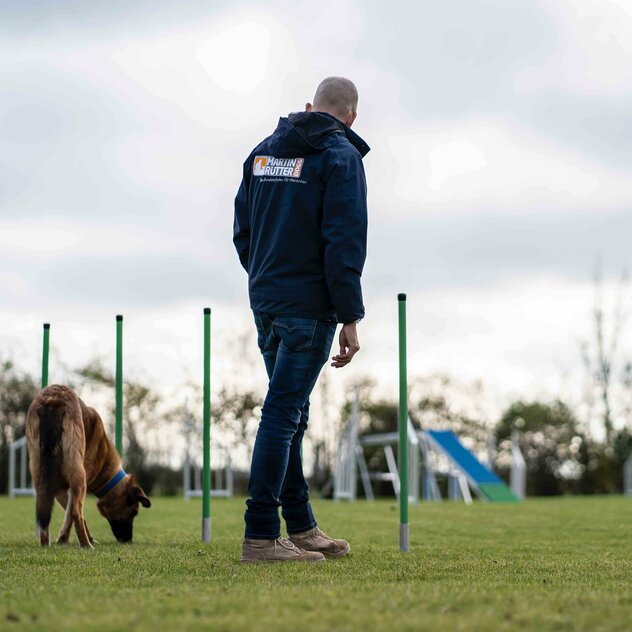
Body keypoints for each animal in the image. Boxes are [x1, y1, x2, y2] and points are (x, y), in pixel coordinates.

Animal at [25, 382, 151, 544]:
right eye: (134, 512)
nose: (128, 540)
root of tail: (53, 400)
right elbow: (72, 514)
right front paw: (73, 539)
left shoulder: (58, 487)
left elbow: (66, 513)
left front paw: (63, 539)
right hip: (79, 475)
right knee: (76, 512)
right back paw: (86, 545)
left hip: (39, 473)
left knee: (44, 507)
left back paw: (45, 544)